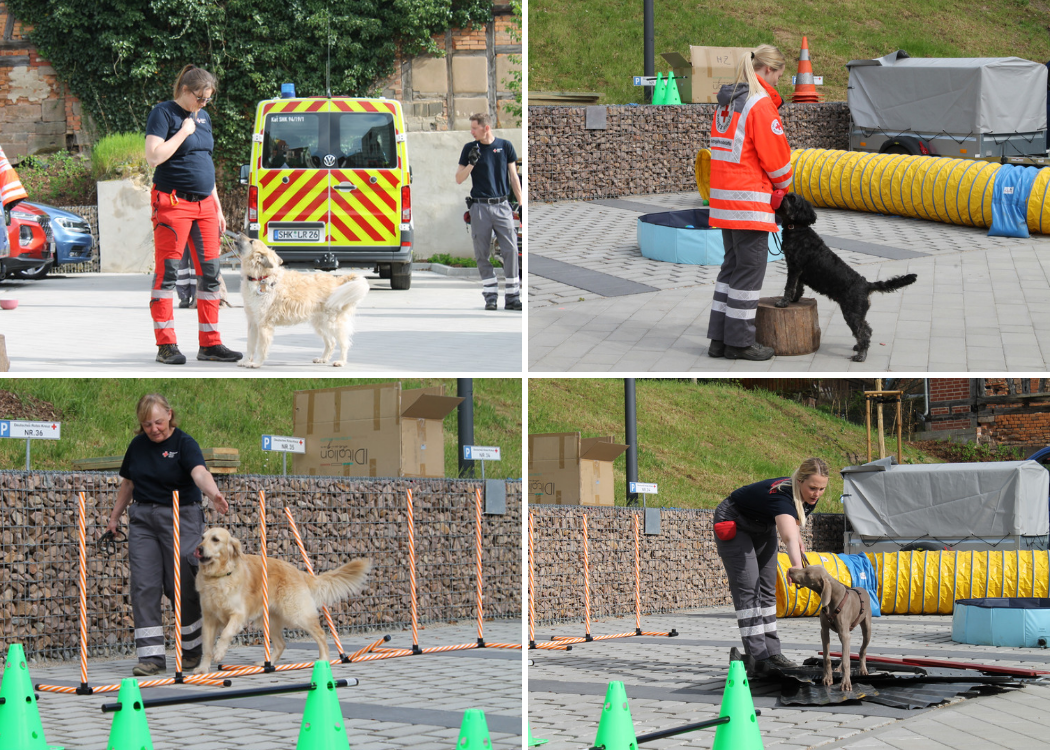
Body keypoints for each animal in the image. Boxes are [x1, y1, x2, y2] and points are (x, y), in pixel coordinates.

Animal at [237, 231, 369, 365]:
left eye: (251, 241)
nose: (239, 233)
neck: (260, 277)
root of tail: (338, 281)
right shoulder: (253, 322)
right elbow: (250, 345)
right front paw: (245, 360)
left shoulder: (264, 323)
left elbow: (261, 347)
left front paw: (256, 363)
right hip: (320, 323)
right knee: (331, 342)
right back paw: (323, 359)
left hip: (333, 323)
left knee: (344, 343)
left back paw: (341, 361)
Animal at [776, 190, 915, 359]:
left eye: (792, 198)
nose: (780, 194)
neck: (798, 228)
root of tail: (866, 285)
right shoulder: (800, 271)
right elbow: (799, 288)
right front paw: (795, 300)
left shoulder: (794, 267)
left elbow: (789, 287)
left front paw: (783, 302)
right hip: (858, 312)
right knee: (867, 329)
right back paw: (858, 347)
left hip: (852, 312)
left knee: (863, 332)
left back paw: (861, 355)